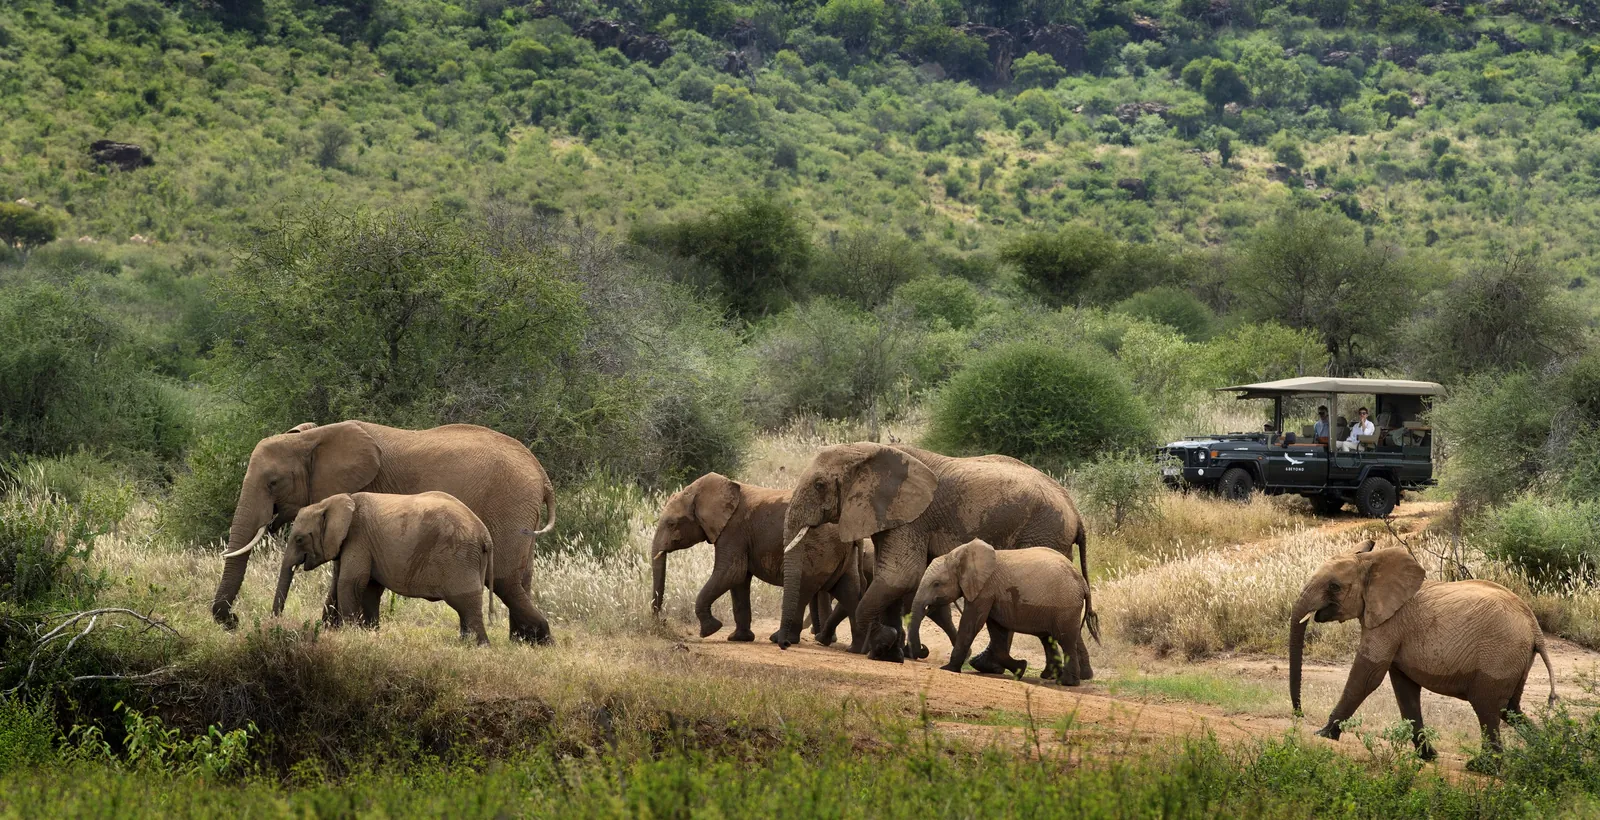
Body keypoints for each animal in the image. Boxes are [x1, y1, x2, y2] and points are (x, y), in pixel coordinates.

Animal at [273, 492, 495, 644]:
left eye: (299, 539)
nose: (276, 621)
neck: (330, 503)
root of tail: (485, 535)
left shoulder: (358, 538)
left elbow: (350, 583)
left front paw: (349, 633)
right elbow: (352, 586)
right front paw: (364, 632)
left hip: (460, 557)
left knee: (465, 602)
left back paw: (479, 646)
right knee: (465, 608)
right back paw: (466, 643)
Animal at [650, 472, 867, 645]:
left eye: (671, 524)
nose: (661, 621)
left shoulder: (733, 531)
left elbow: (731, 573)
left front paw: (710, 630)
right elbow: (739, 581)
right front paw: (739, 638)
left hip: (818, 549)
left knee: (803, 588)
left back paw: (780, 639)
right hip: (842, 556)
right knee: (847, 590)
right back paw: (856, 647)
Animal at [779, 443, 1093, 664]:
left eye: (820, 485)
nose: (784, 645)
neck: (867, 451)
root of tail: (1075, 512)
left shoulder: (913, 518)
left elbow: (900, 575)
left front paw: (881, 644)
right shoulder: (891, 515)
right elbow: (892, 578)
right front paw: (892, 651)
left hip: (1043, 531)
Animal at [909, 540, 1098, 685]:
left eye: (936, 584)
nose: (923, 649)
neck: (961, 554)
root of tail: (1083, 583)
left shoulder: (985, 590)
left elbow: (972, 624)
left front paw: (948, 669)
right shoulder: (993, 595)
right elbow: (997, 631)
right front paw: (1020, 668)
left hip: (1066, 606)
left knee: (1065, 639)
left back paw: (1067, 682)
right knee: (1049, 639)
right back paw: (1051, 677)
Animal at [1290, 540, 1558, 759]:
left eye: (1334, 586)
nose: (1299, 714)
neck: (1372, 562)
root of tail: (1535, 629)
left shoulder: (1390, 624)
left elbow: (1366, 677)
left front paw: (1322, 735)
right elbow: (1404, 689)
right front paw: (1427, 756)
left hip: (1500, 654)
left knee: (1487, 707)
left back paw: (1483, 767)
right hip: (1514, 658)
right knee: (1509, 709)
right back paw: (1542, 751)